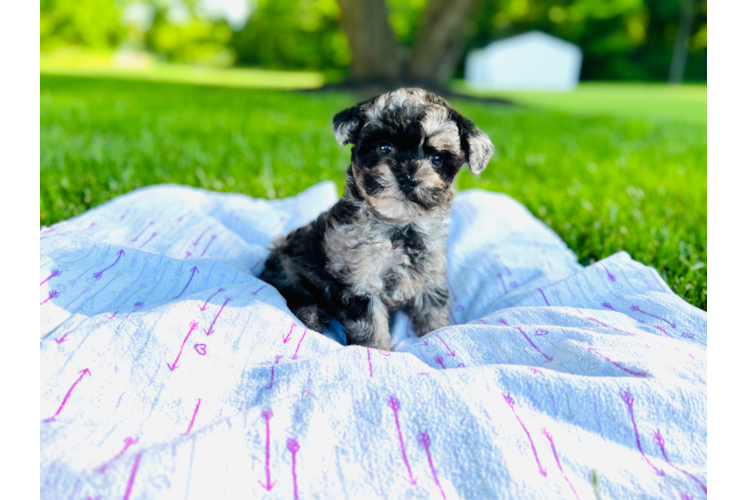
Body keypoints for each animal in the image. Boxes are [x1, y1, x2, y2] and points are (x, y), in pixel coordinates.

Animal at [260, 88, 494, 350]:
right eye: (384, 148)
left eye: (436, 159)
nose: (408, 179)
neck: (400, 226)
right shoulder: (361, 282)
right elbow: (371, 328)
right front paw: (377, 352)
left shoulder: (430, 278)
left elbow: (433, 314)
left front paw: (436, 334)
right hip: (288, 269)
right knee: (294, 293)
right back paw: (312, 315)